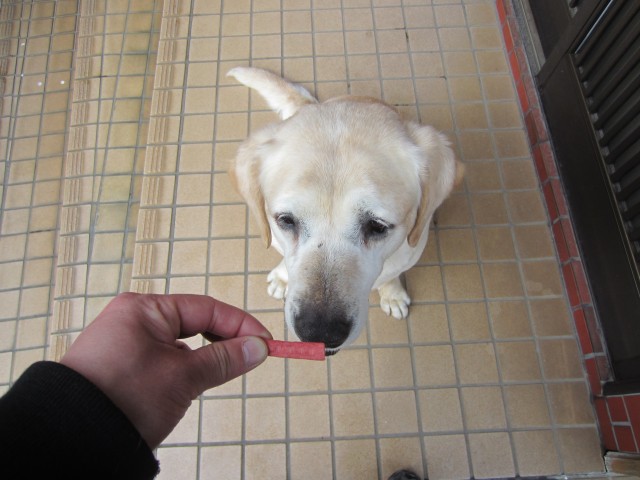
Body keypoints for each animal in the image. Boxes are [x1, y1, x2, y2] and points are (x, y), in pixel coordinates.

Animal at [228, 66, 462, 352]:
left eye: (377, 226)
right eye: (286, 220)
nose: (320, 332)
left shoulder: (409, 250)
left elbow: (390, 276)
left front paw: (392, 294)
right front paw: (283, 277)